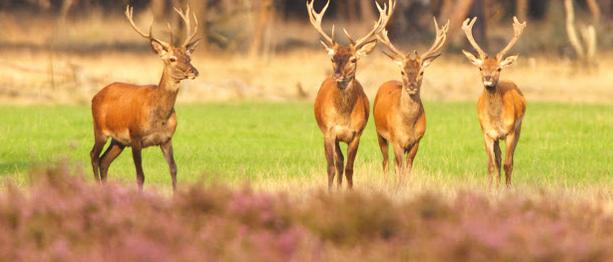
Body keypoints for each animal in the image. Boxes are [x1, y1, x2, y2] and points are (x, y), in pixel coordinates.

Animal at [89, 5, 200, 190]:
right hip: (100, 129)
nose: (194, 71)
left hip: (119, 141)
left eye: (189, 56)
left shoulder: (166, 139)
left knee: (104, 161)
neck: (159, 118)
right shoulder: (135, 137)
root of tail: (95, 96)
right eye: (172, 59)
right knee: (94, 156)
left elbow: (174, 170)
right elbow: (140, 176)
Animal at [308, 0, 394, 190]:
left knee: (342, 163)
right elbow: (331, 167)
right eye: (332, 58)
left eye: (353, 59)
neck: (344, 116)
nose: (337, 75)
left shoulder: (356, 134)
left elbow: (349, 168)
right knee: (338, 162)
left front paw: (349, 191)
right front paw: (331, 191)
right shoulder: (329, 132)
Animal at [372, 18, 450, 178]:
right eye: (402, 71)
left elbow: (407, 168)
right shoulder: (396, 140)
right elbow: (400, 167)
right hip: (379, 133)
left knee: (394, 164)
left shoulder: (417, 141)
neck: (407, 124)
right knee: (385, 161)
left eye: (421, 72)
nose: (412, 86)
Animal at [464, 16, 524, 188]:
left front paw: (508, 188)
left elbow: (508, 164)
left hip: (518, 129)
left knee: (510, 160)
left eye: (498, 69)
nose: (488, 78)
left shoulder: (510, 132)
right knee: (498, 159)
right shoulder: (487, 133)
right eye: (481, 68)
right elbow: (491, 164)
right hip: (496, 137)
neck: (496, 119)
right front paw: (491, 189)